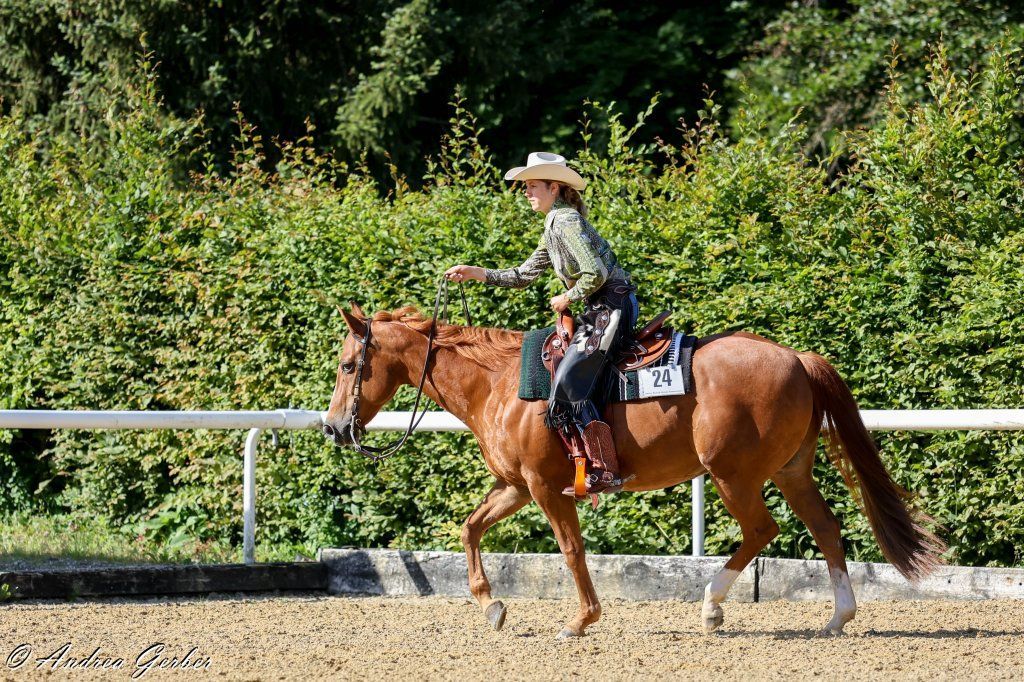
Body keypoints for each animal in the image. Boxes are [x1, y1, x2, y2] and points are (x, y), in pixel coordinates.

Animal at [322, 302, 945, 638]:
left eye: (350, 365)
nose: (332, 427)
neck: (497, 383)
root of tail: (797, 358)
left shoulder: (547, 488)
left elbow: (571, 549)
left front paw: (581, 620)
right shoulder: (516, 486)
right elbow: (471, 527)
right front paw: (492, 605)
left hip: (733, 473)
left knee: (761, 530)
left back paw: (712, 605)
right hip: (791, 471)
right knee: (825, 527)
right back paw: (838, 616)